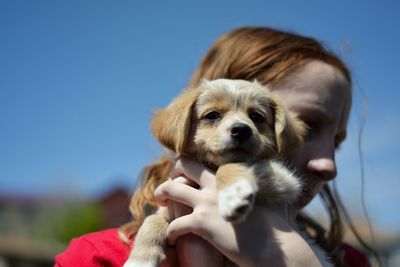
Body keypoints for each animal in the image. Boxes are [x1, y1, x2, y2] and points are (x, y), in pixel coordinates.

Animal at [124, 78, 306, 266]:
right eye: (212, 115)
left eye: (256, 116)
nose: (242, 130)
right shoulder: (167, 210)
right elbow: (151, 220)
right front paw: (139, 260)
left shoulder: (287, 181)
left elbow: (229, 166)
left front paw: (233, 194)